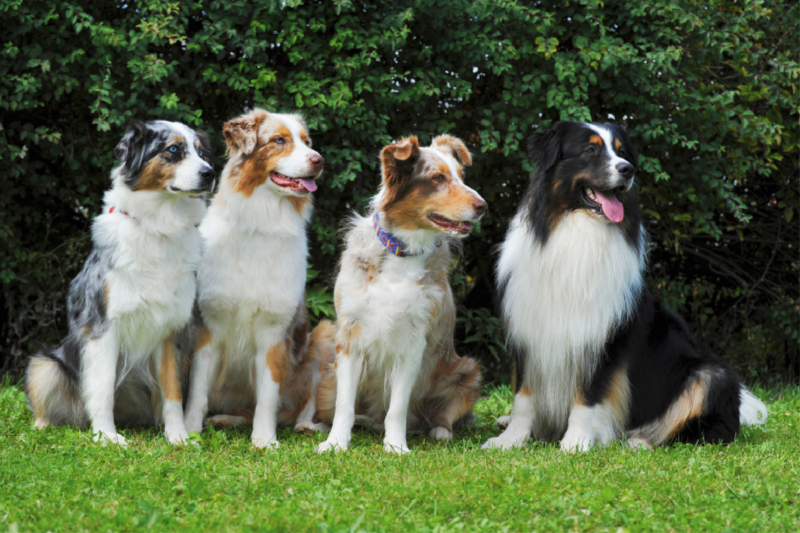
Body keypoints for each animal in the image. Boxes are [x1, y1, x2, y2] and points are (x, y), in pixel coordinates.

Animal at [183, 109, 330, 448]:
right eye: (279, 141)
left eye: (307, 142)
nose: (319, 160)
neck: (262, 223)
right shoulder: (208, 326)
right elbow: (197, 392)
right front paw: (190, 431)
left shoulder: (274, 331)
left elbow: (268, 395)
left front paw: (264, 440)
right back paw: (224, 419)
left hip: (325, 336)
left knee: (303, 407)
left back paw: (307, 426)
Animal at [316, 134, 484, 454]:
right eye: (438, 178)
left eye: (461, 176)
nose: (483, 206)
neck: (401, 252)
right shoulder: (350, 337)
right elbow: (344, 405)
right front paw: (335, 443)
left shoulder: (413, 341)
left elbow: (397, 407)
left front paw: (395, 447)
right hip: (327, 379)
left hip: (466, 372)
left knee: (439, 415)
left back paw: (439, 432)